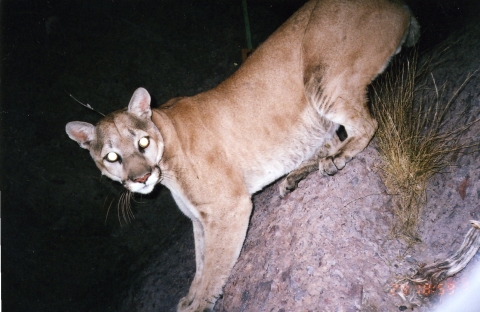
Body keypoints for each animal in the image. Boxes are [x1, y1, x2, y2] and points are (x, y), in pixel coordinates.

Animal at [65, 0, 418, 310]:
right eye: (112, 157)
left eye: (142, 142)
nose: (141, 178)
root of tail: (397, 5)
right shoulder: (199, 219)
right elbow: (200, 263)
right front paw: (190, 298)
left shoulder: (227, 210)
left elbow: (213, 269)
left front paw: (199, 304)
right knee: (330, 139)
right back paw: (297, 175)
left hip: (322, 79)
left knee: (366, 124)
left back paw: (333, 160)